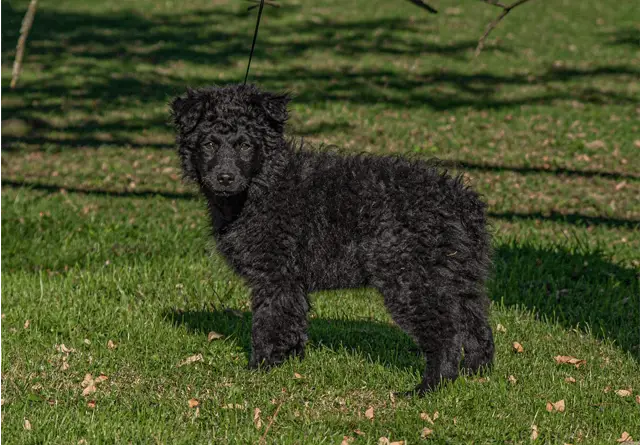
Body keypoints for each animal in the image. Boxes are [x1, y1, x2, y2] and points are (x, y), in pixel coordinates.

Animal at [170, 84, 496, 392]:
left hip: (410, 279)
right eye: (209, 144)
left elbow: (269, 323)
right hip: (457, 278)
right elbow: (292, 321)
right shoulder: (290, 281)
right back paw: (476, 374)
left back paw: (430, 386)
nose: (225, 178)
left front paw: (259, 368)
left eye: (246, 145)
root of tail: (460, 202)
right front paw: (289, 366)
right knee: (476, 325)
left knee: (445, 334)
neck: (263, 184)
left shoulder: (274, 276)